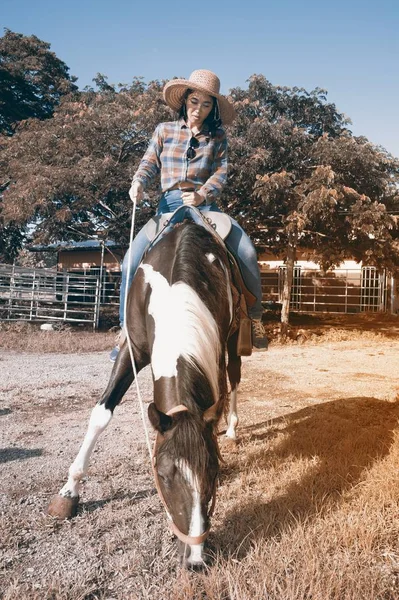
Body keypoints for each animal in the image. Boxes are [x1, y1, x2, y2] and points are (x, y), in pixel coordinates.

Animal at [47, 210, 247, 568]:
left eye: (213, 472)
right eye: (164, 475)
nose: (195, 559)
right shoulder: (133, 349)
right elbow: (101, 414)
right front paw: (69, 491)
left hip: (234, 341)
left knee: (234, 378)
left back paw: (233, 428)